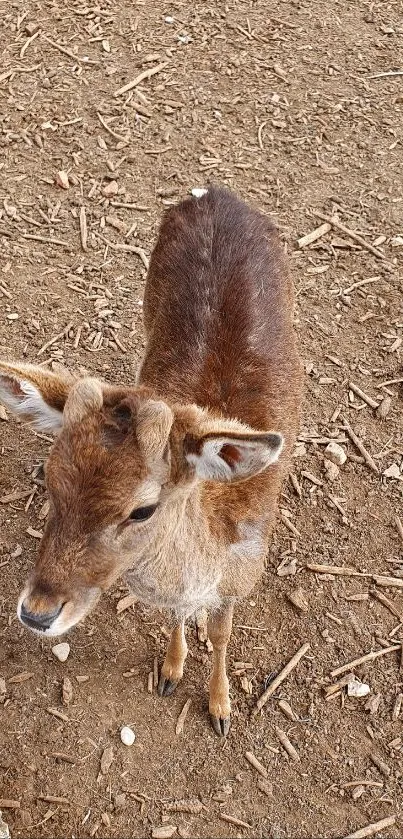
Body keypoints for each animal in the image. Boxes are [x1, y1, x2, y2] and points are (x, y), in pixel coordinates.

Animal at [0, 185, 304, 736]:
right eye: (51, 480)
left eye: (142, 509)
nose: (36, 613)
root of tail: (215, 192)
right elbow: (175, 615)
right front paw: (170, 670)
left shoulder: (242, 579)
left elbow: (223, 634)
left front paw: (221, 709)